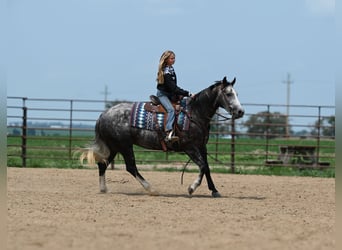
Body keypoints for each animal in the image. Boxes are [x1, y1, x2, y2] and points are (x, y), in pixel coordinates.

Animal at [81, 76, 244, 197]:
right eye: (228, 93)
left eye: (236, 93)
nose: (240, 111)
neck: (194, 113)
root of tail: (103, 115)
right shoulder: (190, 147)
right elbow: (203, 166)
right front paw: (191, 188)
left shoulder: (201, 147)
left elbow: (207, 168)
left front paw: (215, 191)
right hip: (124, 146)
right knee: (131, 167)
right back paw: (151, 189)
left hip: (114, 146)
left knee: (103, 164)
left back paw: (104, 189)